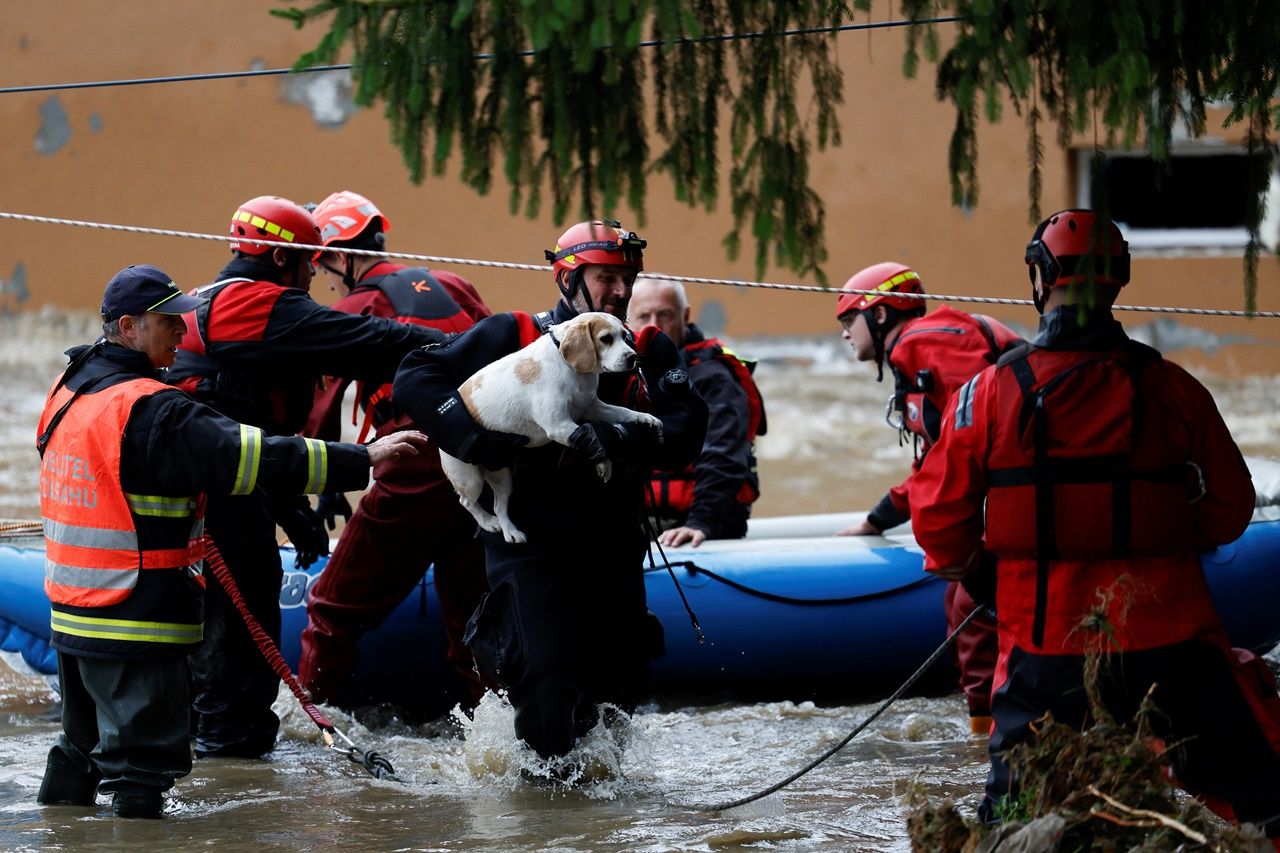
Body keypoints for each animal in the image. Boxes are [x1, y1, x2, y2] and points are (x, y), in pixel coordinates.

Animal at [440, 311, 660, 537]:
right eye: (606, 338)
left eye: (624, 336)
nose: (633, 357)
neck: (570, 367)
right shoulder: (559, 425)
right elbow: (593, 445)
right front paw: (604, 464)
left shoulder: (593, 409)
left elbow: (623, 413)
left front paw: (646, 418)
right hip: (470, 481)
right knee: (466, 502)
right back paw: (486, 522)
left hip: (503, 476)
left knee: (499, 507)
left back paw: (509, 531)